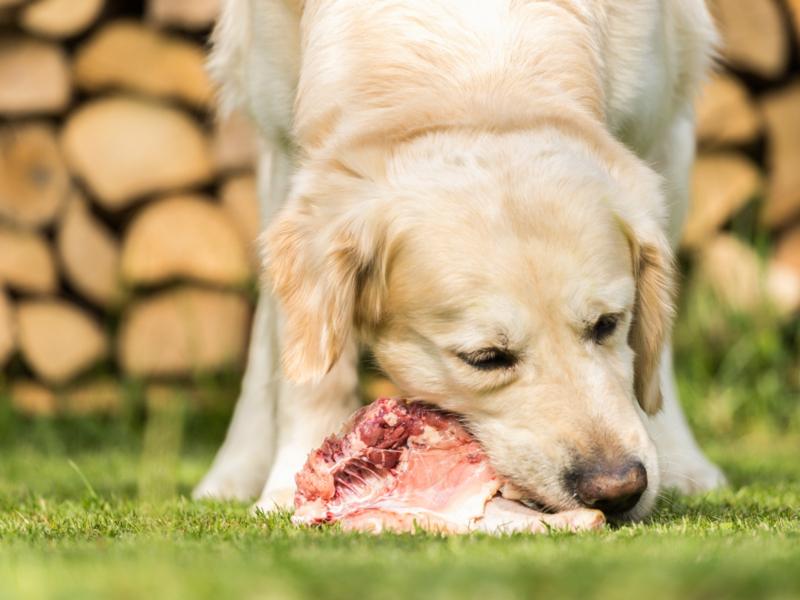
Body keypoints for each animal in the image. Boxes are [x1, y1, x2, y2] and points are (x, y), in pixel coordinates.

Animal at [194, 0, 724, 520]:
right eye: (485, 359)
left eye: (608, 324)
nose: (618, 490)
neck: (476, 77)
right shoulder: (285, 144)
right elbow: (306, 363)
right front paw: (286, 484)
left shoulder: (659, 124)